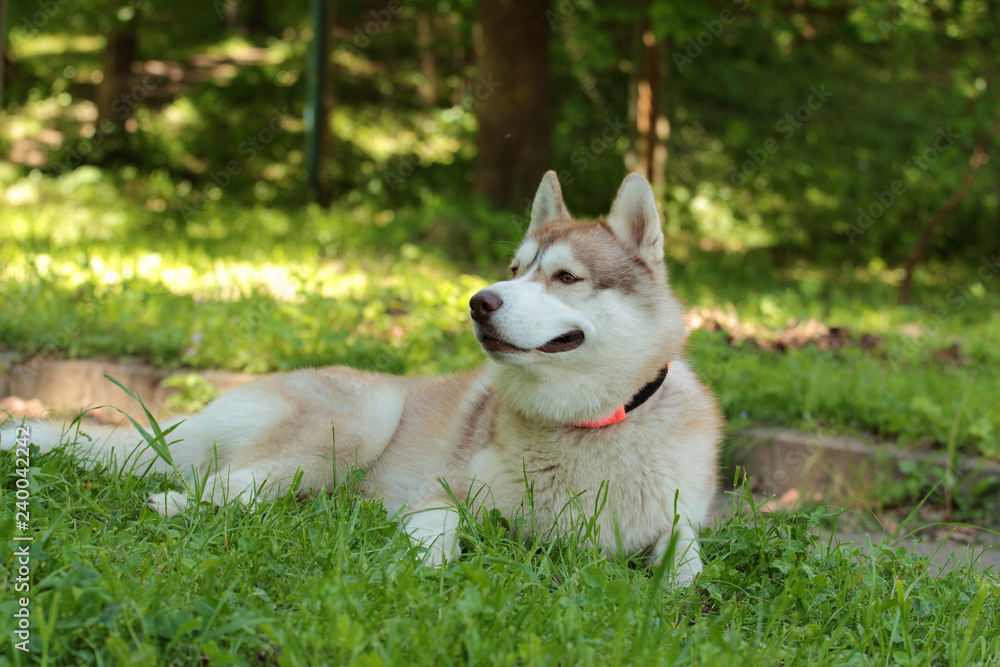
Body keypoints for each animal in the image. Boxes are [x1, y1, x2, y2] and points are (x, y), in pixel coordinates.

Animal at [0, 171, 720, 584]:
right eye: (515, 268)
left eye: (566, 276)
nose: (479, 301)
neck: (588, 427)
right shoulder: (441, 495)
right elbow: (439, 538)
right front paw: (421, 569)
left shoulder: (679, 518)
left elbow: (686, 560)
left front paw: (673, 591)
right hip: (355, 425)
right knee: (212, 485)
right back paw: (183, 504)